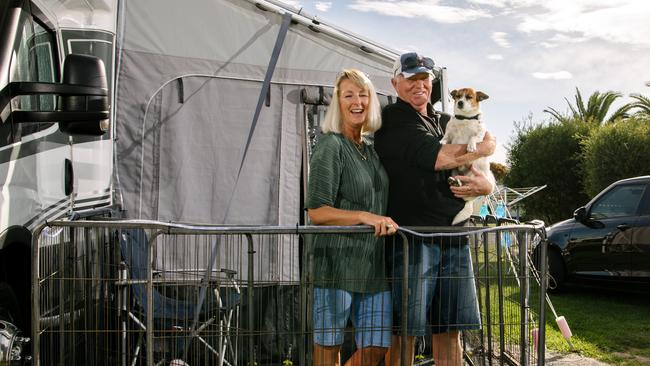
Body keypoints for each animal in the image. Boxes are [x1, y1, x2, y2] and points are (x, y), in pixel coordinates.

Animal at [440, 88, 496, 226]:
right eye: (458, 96)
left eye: (469, 97)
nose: (460, 102)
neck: (464, 119)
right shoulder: (450, 133)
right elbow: (446, 137)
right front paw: (442, 142)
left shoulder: (481, 134)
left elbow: (473, 137)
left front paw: (471, 146)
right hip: (454, 172)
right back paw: (454, 181)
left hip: (472, 177)